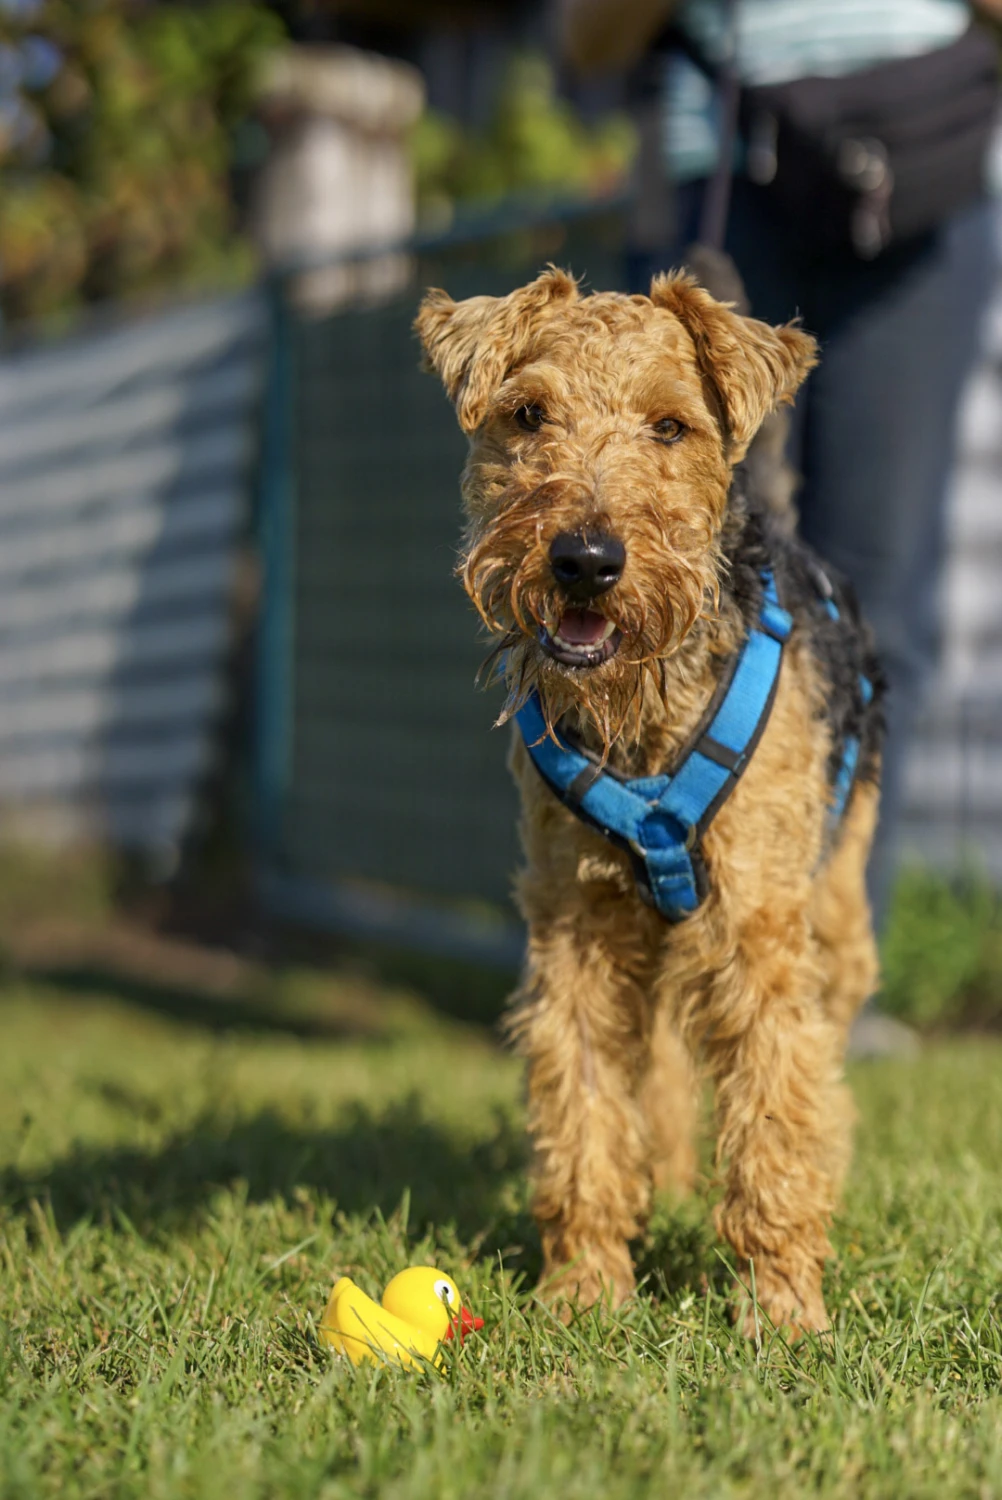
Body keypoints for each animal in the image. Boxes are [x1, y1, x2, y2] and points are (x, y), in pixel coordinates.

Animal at [411, 264, 882, 1332]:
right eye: (528, 413)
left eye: (671, 426)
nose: (585, 560)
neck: (644, 721)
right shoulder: (577, 928)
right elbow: (584, 1108)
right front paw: (585, 1286)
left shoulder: (757, 926)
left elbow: (776, 1109)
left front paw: (780, 1303)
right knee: (660, 1072)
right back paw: (662, 1186)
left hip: (833, 908)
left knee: (823, 1069)